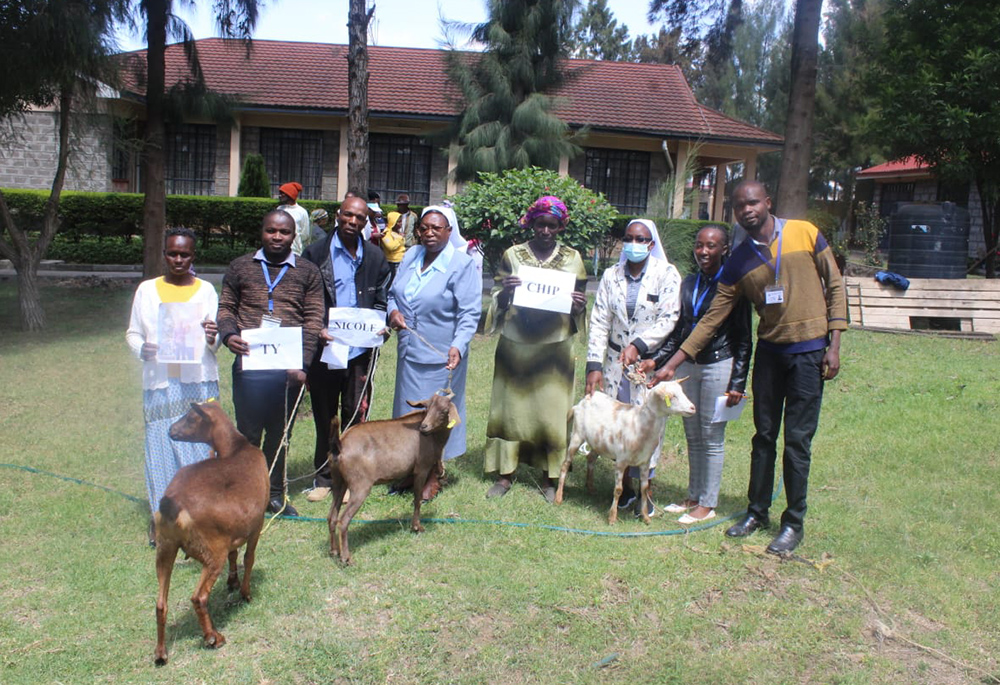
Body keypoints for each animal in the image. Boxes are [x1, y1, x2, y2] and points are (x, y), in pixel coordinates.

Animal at [153, 400, 270, 664]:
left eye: (190, 418)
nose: (170, 431)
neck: (236, 448)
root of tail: (173, 506)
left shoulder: (233, 531)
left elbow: (234, 554)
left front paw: (232, 582)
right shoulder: (256, 523)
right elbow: (249, 558)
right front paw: (245, 593)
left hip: (165, 548)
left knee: (160, 603)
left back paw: (161, 653)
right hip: (211, 552)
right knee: (199, 597)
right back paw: (213, 638)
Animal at [556, 380, 696, 524]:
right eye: (672, 396)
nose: (693, 408)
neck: (640, 424)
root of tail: (582, 401)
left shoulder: (645, 462)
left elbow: (644, 489)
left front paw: (645, 517)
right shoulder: (621, 461)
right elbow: (618, 489)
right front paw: (612, 518)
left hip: (599, 443)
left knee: (590, 458)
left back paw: (590, 488)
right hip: (577, 435)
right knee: (565, 464)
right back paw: (559, 497)